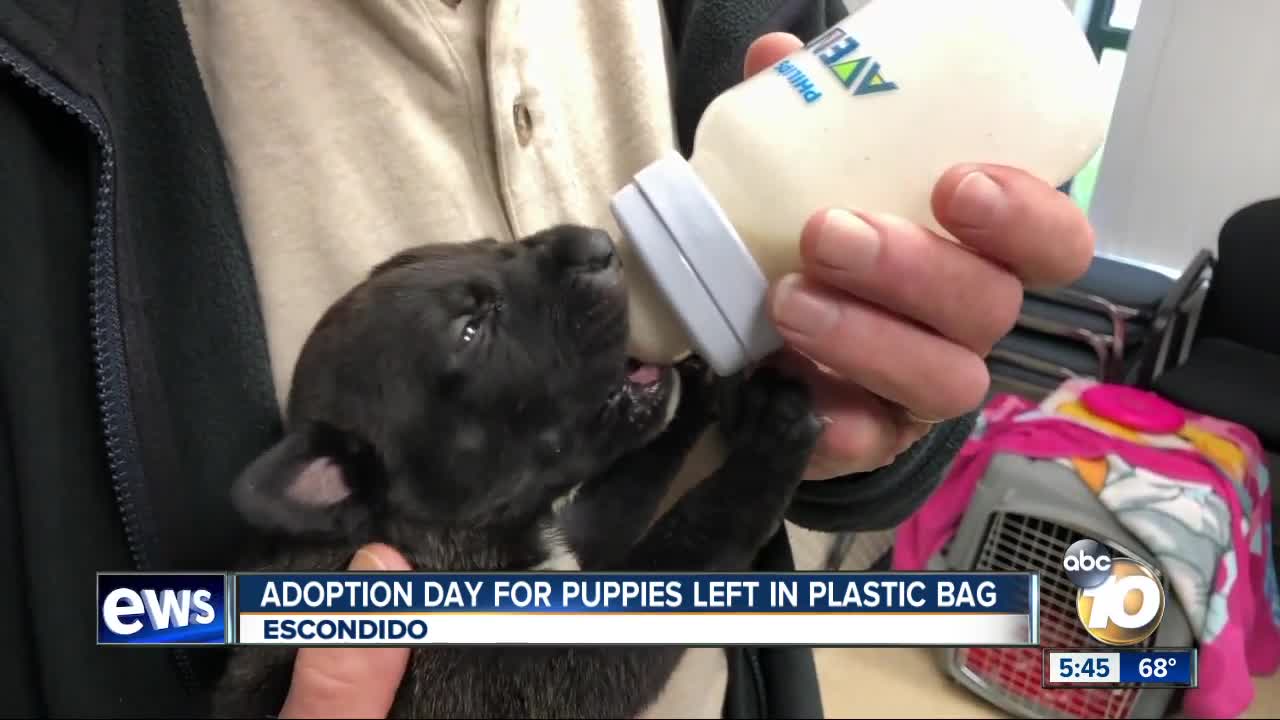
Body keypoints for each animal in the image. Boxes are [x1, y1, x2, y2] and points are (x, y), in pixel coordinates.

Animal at [212, 224, 819, 717]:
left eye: (488, 244)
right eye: (471, 330)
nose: (598, 243)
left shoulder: (578, 534)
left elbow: (629, 485)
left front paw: (697, 380)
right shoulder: (548, 672)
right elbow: (686, 540)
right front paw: (769, 448)